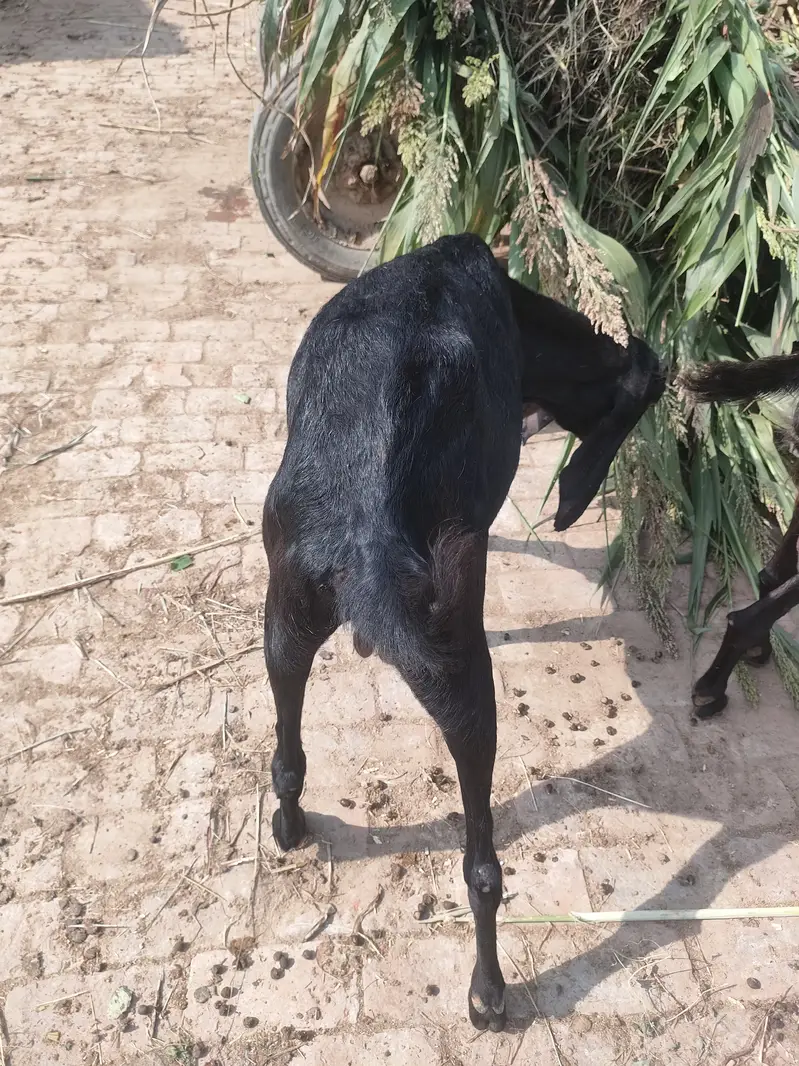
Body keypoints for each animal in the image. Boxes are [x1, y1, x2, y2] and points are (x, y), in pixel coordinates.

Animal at [262, 233, 664, 1031]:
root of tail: (365, 536)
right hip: (462, 682)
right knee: (482, 867)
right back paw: (488, 992)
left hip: (284, 618)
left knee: (286, 750)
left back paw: (291, 826)